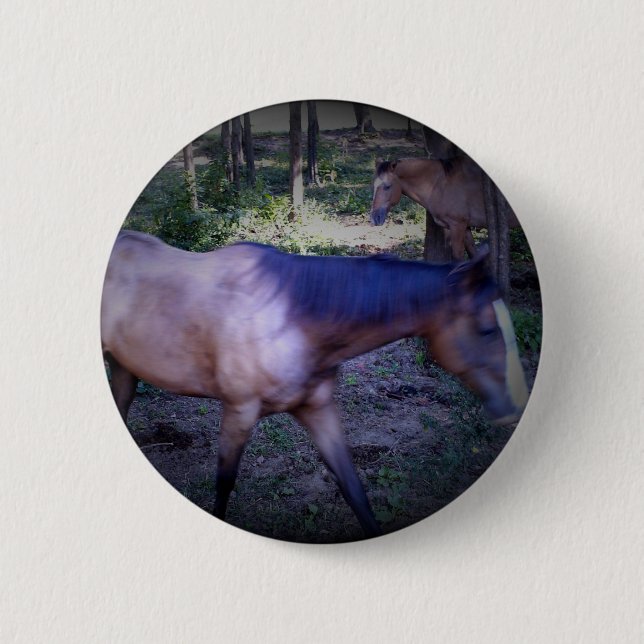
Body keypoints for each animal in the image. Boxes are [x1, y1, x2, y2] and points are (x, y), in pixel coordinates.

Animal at [101, 230, 529, 538]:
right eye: (487, 329)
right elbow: (223, 485)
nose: (514, 408)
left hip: (123, 370)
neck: (292, 318)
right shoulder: (239, 411)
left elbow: (355, 490)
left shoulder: (318, 410)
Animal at [370, 156, 520, 260]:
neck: (439, 184)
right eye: (374, 185)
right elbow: (473, 255)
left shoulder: (457, 225)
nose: (374, 218)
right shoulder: (463, 227)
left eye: (387, 186)